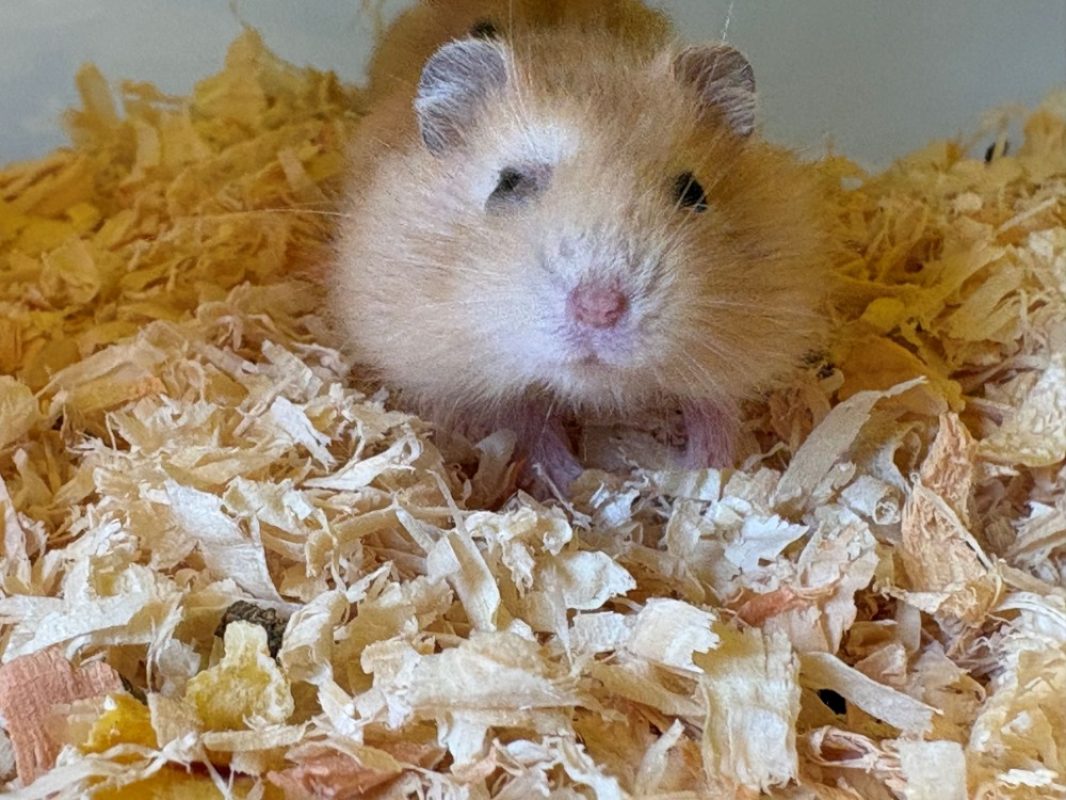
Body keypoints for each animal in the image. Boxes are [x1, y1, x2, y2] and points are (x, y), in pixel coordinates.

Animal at [331, 2, 829, 493]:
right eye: (507, 183)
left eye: (694, 192)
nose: (599, 310)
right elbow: (526, 422)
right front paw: (581, 481)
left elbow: (714, 411)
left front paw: (697, 474)